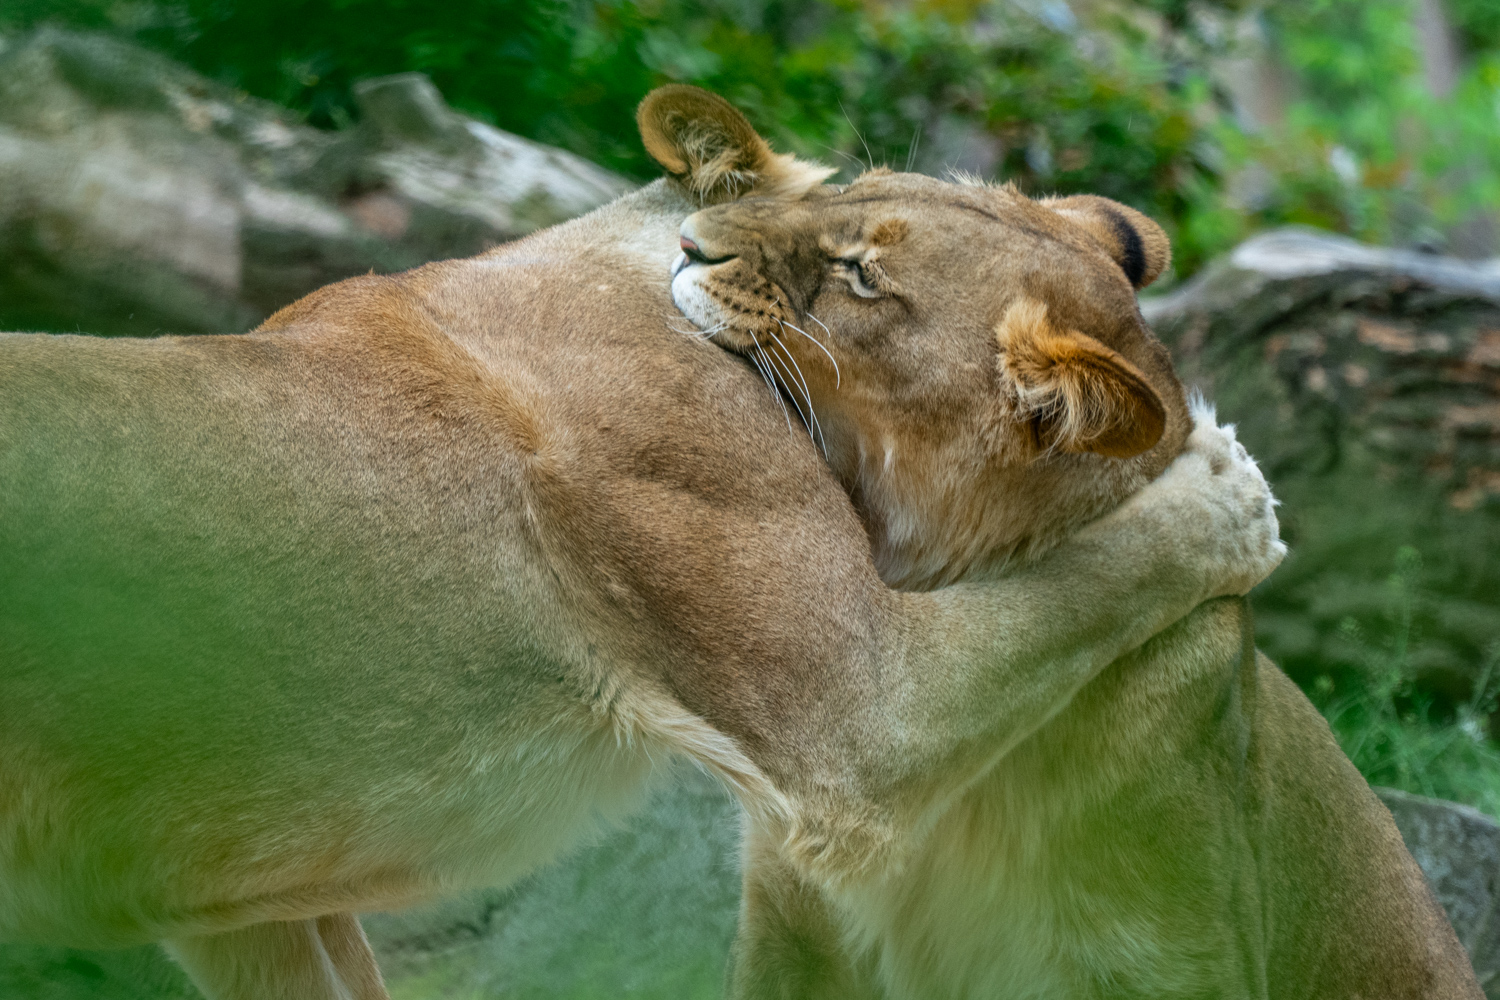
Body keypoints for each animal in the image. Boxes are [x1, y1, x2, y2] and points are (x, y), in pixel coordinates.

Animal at [0, 86, 1284, 1000]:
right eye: (852, 250)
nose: (699, 254)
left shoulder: (242, 900)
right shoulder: (856, 716)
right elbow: (1087, 576)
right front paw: (1233, 486)